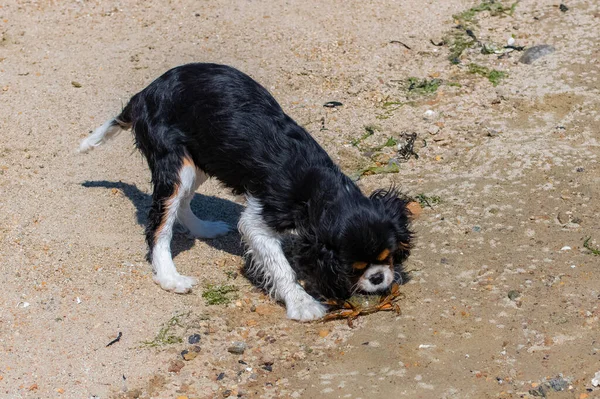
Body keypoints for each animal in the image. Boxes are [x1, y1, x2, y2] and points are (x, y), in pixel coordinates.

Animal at [78, 64, 412, 324]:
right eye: (354, 267)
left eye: (388, 256)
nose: (378, 278)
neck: (318, 187)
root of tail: (144, 94)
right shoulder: (260, 219)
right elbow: (281, 268)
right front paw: (302, 304)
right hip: (175, 164)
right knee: (159, 226)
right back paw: (170, 278)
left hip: (201, 160)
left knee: (182, 203)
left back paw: (203, 228)